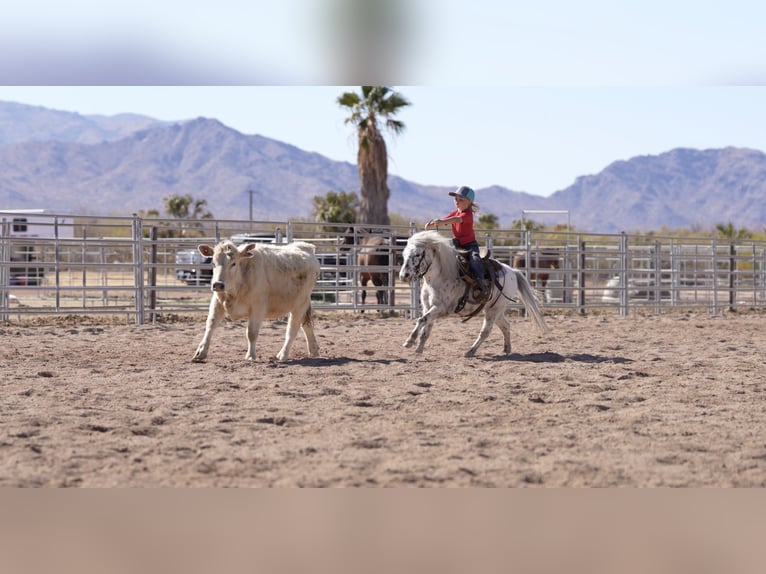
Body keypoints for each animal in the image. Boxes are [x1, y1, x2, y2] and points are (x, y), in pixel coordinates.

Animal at [195, 241, 324, 362]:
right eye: (213, 263)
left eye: (233, 263)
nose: (218, 284)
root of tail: (307, 247)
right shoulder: (217, 303)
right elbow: (210, 325)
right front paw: (201, 351)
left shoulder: (257, 307)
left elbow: (251, 333)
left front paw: (251, 355)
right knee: (306, 325)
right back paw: (314, 350)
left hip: (299, 304)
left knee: (293, 330)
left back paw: (283, 354)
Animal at [400, 232, 548, 358]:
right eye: (403, 255)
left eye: (417, 255)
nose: (403, 276)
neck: (440, 276)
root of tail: (512, 271)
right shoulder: (428, 307)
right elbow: (426, 328)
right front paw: (418, 349)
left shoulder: (440, 308)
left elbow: (421, 320)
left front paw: (409, 341)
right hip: (495, 310)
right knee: (506, 326)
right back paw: (507, 349)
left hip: (493, 311)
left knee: (486, 332)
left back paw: (470, 351)